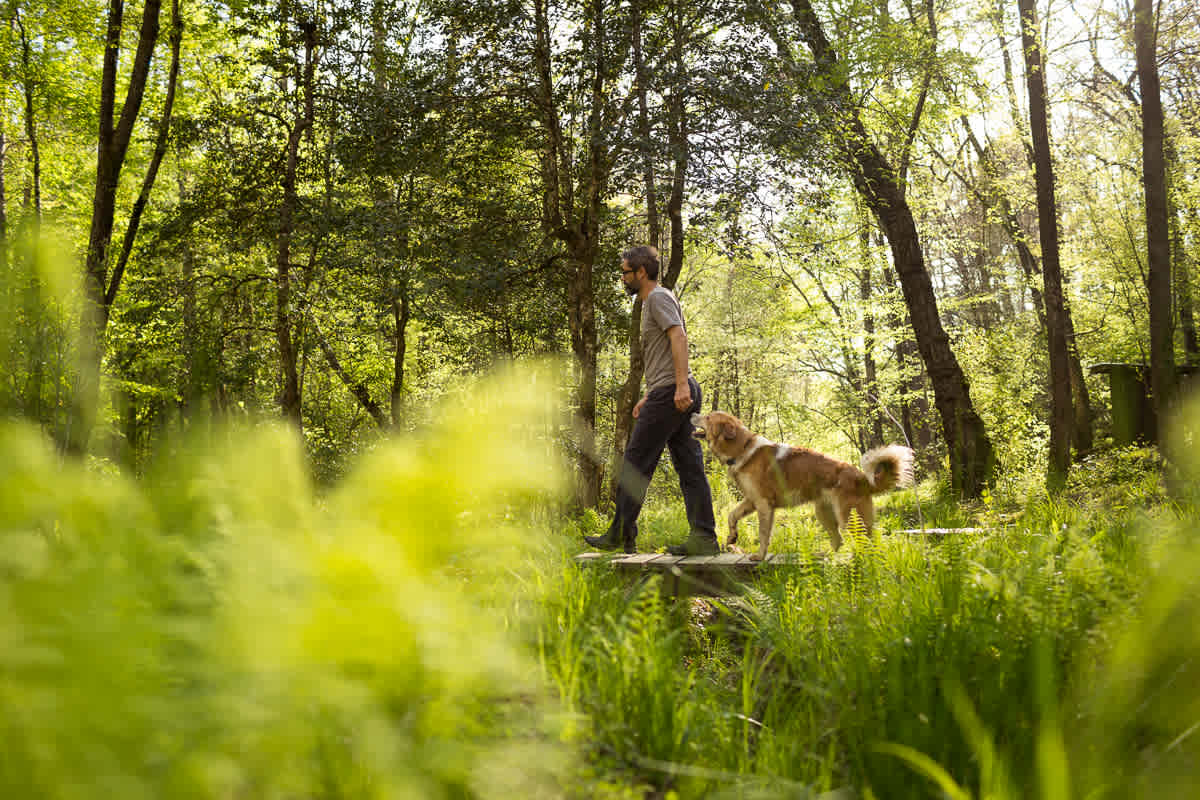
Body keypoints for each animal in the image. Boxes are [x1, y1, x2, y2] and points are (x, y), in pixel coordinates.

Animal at [691, 410, 912, 561]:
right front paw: (731, 537)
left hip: (848, 517)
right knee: (839, 540)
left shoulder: (763, 504)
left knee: (866, 542)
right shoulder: (751, 501)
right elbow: (732, 516)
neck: (743, 449)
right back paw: (828, 558)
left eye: (708, 417)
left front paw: (760, 557)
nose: (692, 412)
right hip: (824, 514)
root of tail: (863, 478)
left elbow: (763, 534)